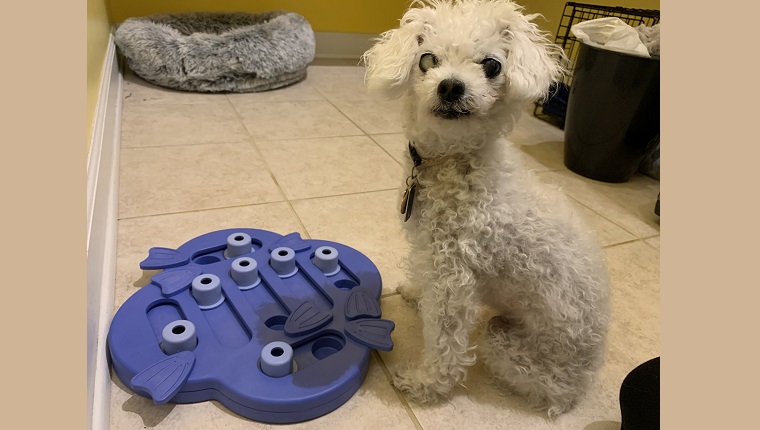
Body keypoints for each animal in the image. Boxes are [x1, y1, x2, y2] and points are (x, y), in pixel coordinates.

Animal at [362, 0, 612, 416]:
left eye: (492, 65)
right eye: (427, 60)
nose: (451, 86)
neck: (456, 161)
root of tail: (585, 380)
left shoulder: (454, 277)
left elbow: (446, 342)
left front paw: (426, 384)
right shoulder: (430, 252)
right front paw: (414, 293)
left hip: (508, 344)